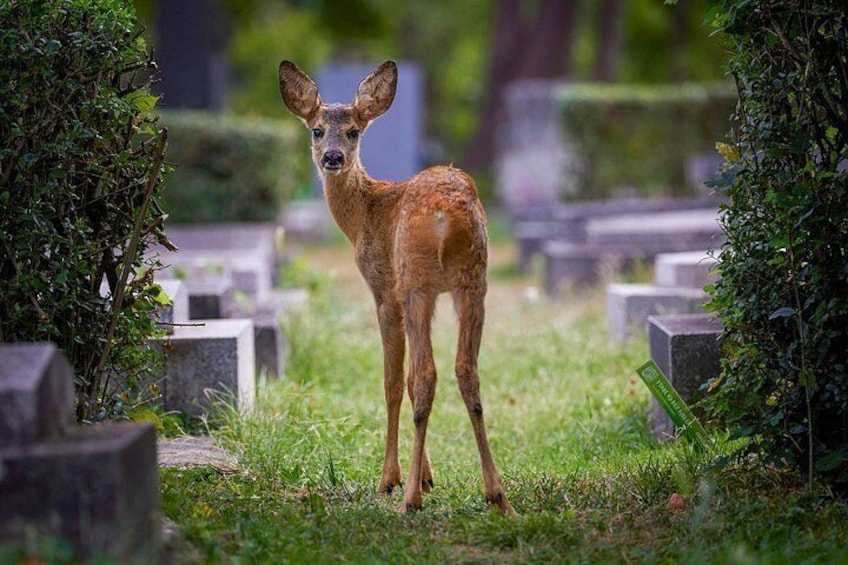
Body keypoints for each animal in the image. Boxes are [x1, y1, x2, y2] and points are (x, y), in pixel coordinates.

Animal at [278, 60, 514, 516]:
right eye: (317, 129)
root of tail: (447, 213)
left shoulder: (385, 291)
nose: (332, 157)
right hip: (473, 278)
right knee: (466, 370)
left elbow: (393, 381)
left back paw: (409, 499)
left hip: (416, 279)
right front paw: (427, 474)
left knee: (426, 374)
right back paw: (496, 494)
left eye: (354, 131)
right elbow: (405, 379)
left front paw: (394, 478)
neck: (363, 214)